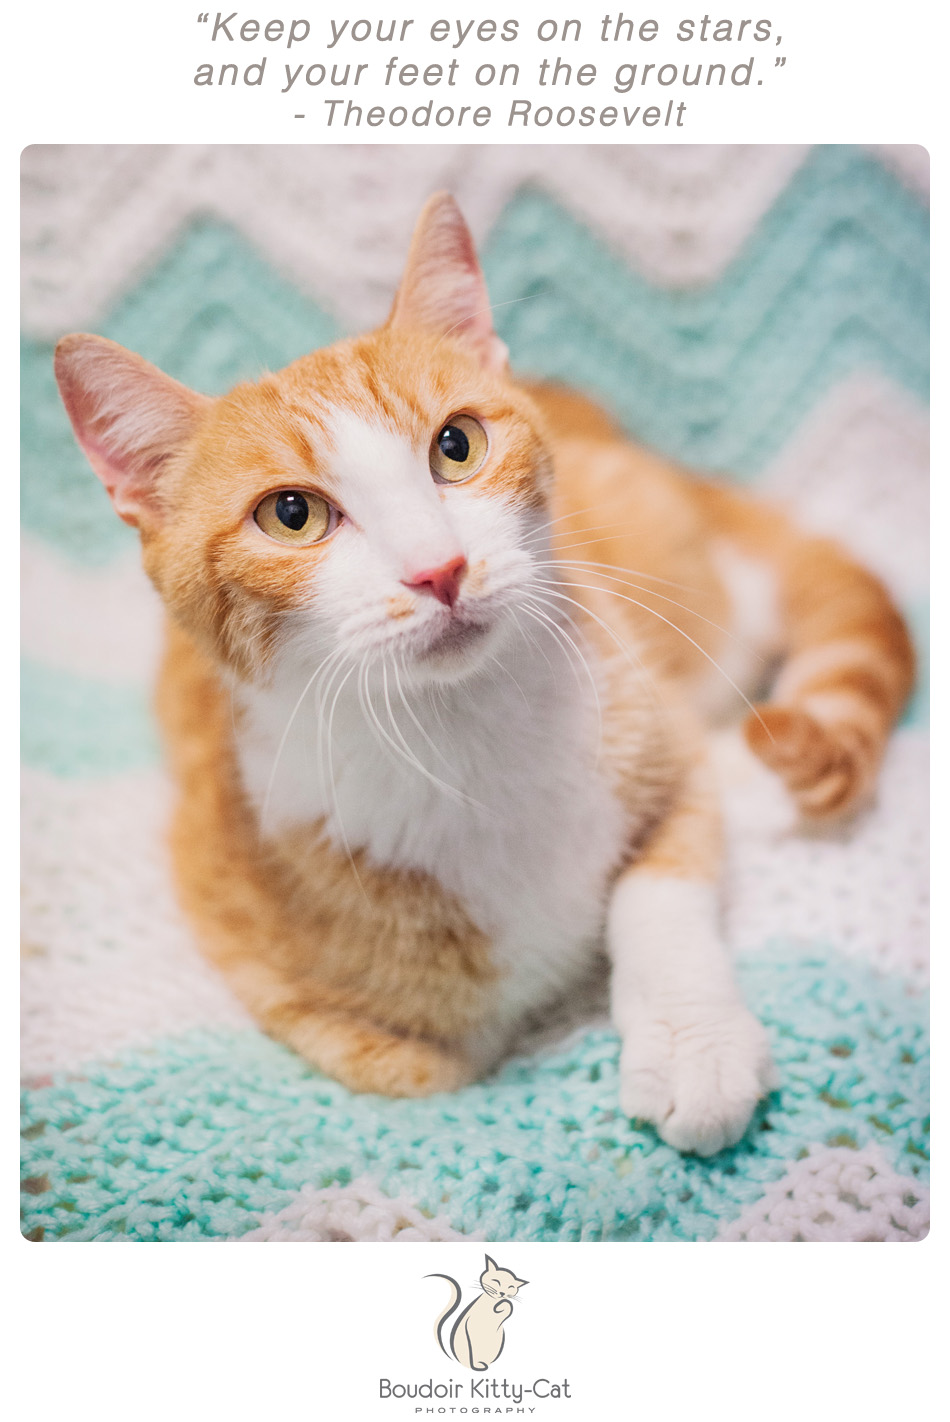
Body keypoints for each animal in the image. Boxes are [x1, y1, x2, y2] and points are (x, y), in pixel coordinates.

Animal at [57, 194, 910, 1154]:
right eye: (291, 514)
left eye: (456, 446)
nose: (440, 569)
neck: (465, 738)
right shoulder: (260, 948)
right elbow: (427, 1068)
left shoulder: (651, 738)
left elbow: (657, 890)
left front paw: (694, 1039)